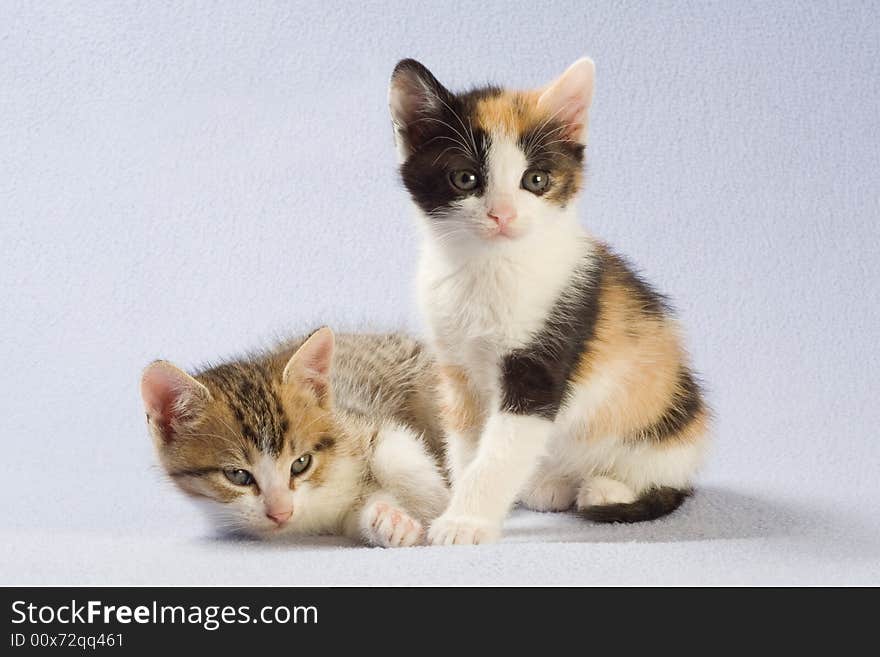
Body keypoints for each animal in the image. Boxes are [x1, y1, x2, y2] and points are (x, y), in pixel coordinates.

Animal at [144, 328, 450, 548]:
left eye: (301, 463)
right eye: (237, 475)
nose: (281, 513)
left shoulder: (358, 420)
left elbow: (394, 452)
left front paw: (435, 499)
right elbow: (362, 512)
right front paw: (392, 522)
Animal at [390, 59, 708, 544]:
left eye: (535, 180)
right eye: (465, 178)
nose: (502, 214)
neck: (489, 267)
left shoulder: (542, 364)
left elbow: (499, 452)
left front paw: (465, 522)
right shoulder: (457, 369)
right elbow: (468, 444)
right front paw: (462, 502)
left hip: (664, 416)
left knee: (660, 475)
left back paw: (605, 488)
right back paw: (551, 485)